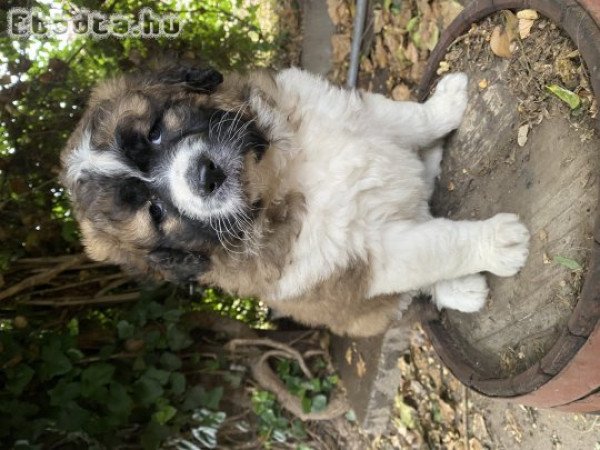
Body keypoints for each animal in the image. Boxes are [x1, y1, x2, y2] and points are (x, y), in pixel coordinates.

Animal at [61, 64, 528, 338]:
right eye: (156, 213)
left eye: (155, 131)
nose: (205, 175)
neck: (276, 175)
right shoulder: (370, 255)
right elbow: (438, 247)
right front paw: (497, 242)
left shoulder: (354, 112)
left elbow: (408, 117)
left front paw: (446, 105)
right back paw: (461, 289)